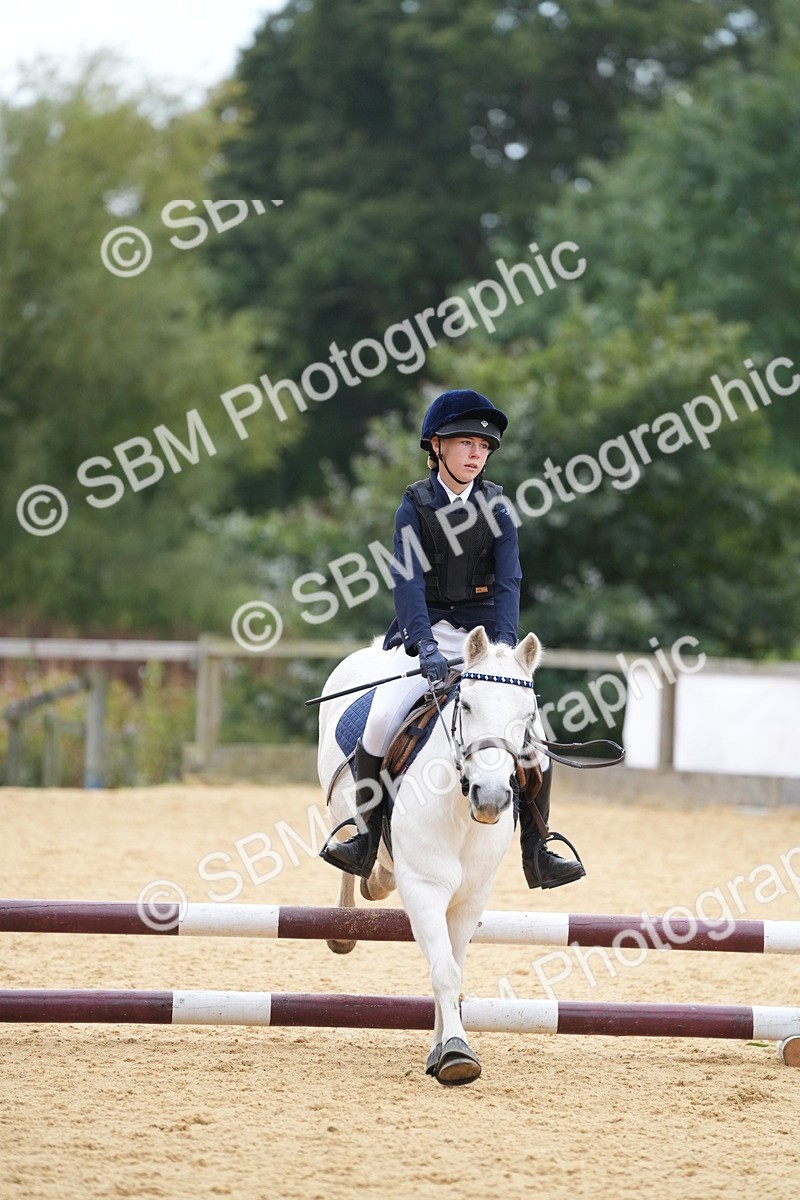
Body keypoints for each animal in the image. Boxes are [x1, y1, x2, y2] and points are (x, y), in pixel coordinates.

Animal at [317, 624, 544, 1085]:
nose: (491, 798)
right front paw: (456, 1053)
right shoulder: (424, 887)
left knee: (382, 876)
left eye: (527, 714)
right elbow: (444, 971)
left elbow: (453, 969)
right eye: (467, 705)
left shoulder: (471, 896)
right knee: (353, 851)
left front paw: (442, 1049)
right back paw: (346, 919)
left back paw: (376, 882)